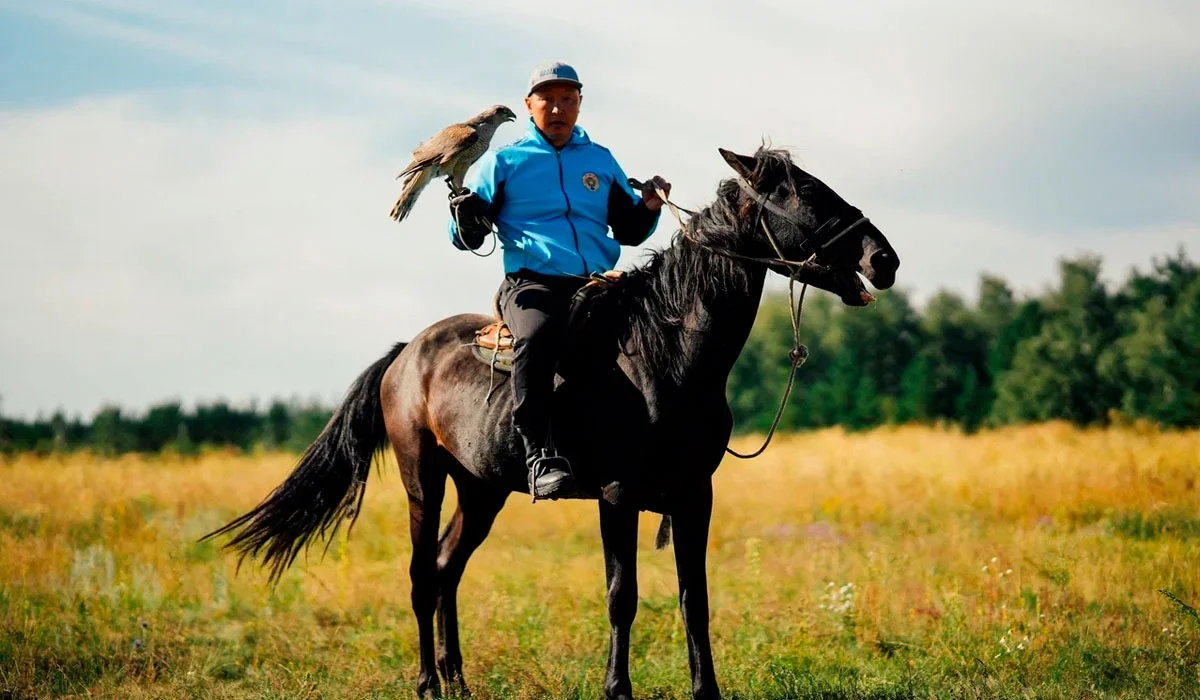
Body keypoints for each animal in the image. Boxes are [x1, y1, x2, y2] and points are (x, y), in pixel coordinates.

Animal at [204, 146, 902, 700]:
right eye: (805, 191)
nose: (883, 258)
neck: (663, 353)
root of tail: (406, 354)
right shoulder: (618, 497)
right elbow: (623, 596)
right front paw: (617, 690)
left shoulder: (694, 497)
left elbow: (694, 599)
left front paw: (706, 690)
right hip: (421, 478)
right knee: (421, 574)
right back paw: (428, 683)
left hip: (481, 490)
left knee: (447, 567)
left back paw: (458, 680)